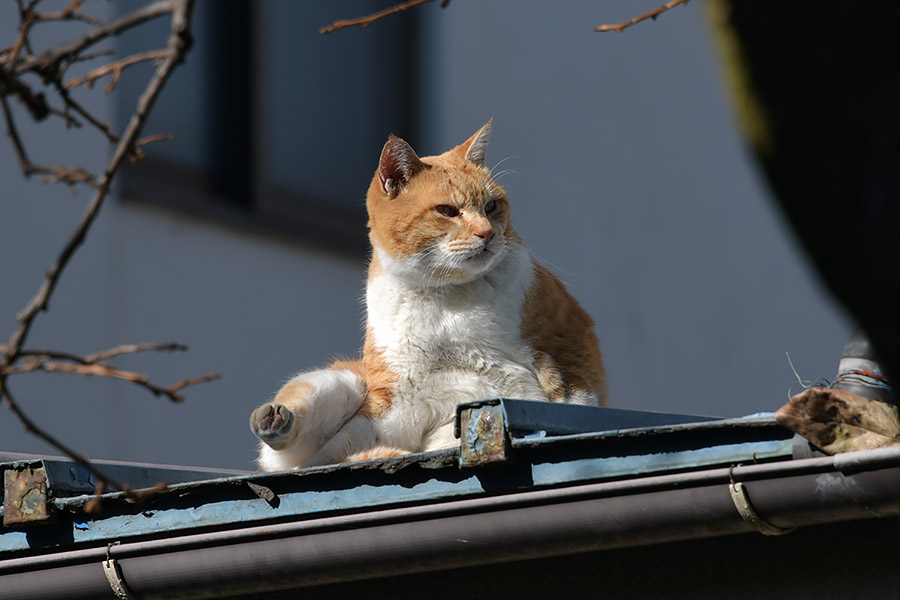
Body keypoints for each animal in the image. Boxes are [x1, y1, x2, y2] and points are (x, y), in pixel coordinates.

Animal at [250, 120, 608, 468]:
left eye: (491, 206)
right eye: (447, 211)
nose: (487, 233)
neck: (446, 299)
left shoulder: (568, 348)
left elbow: (570, 400)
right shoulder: (393, 399)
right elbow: (345, 449)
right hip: (339, 384)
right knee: (292, 454)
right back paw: (276, 421)